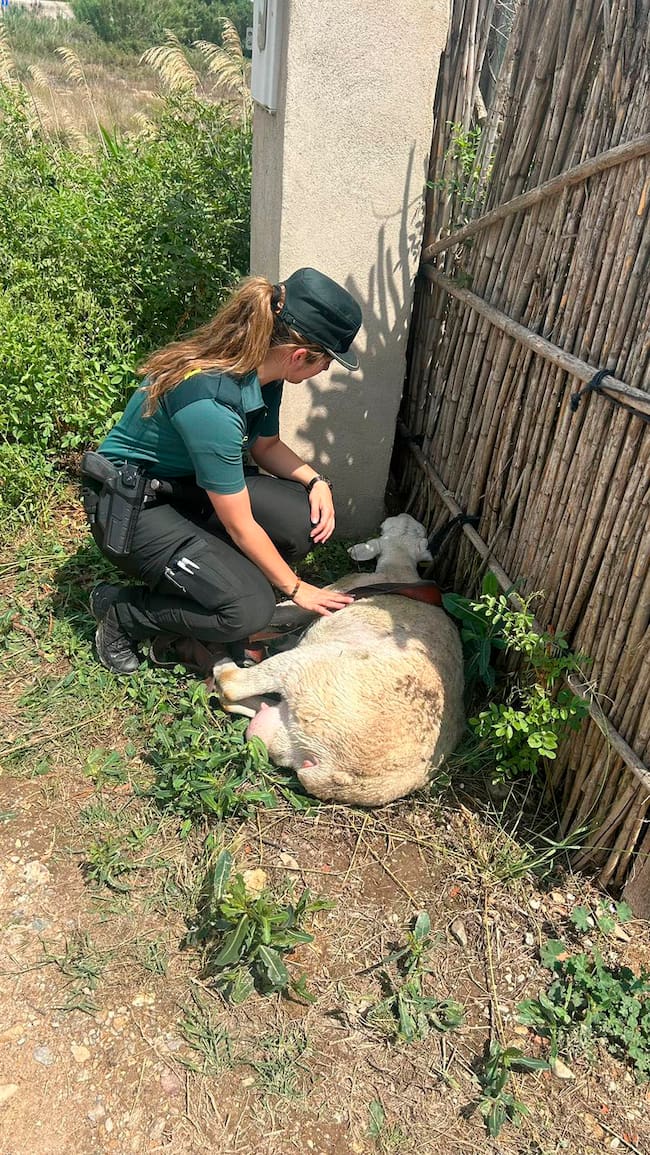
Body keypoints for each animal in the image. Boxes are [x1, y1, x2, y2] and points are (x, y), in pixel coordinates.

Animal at [213, 514, 465, 806]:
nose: (404, 516)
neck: (399, 568)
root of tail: (334, 771)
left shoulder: (338, 590)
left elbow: (282, 610)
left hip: (308, 668)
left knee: (232, 687)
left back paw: (222, 660)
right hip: (284, 734)